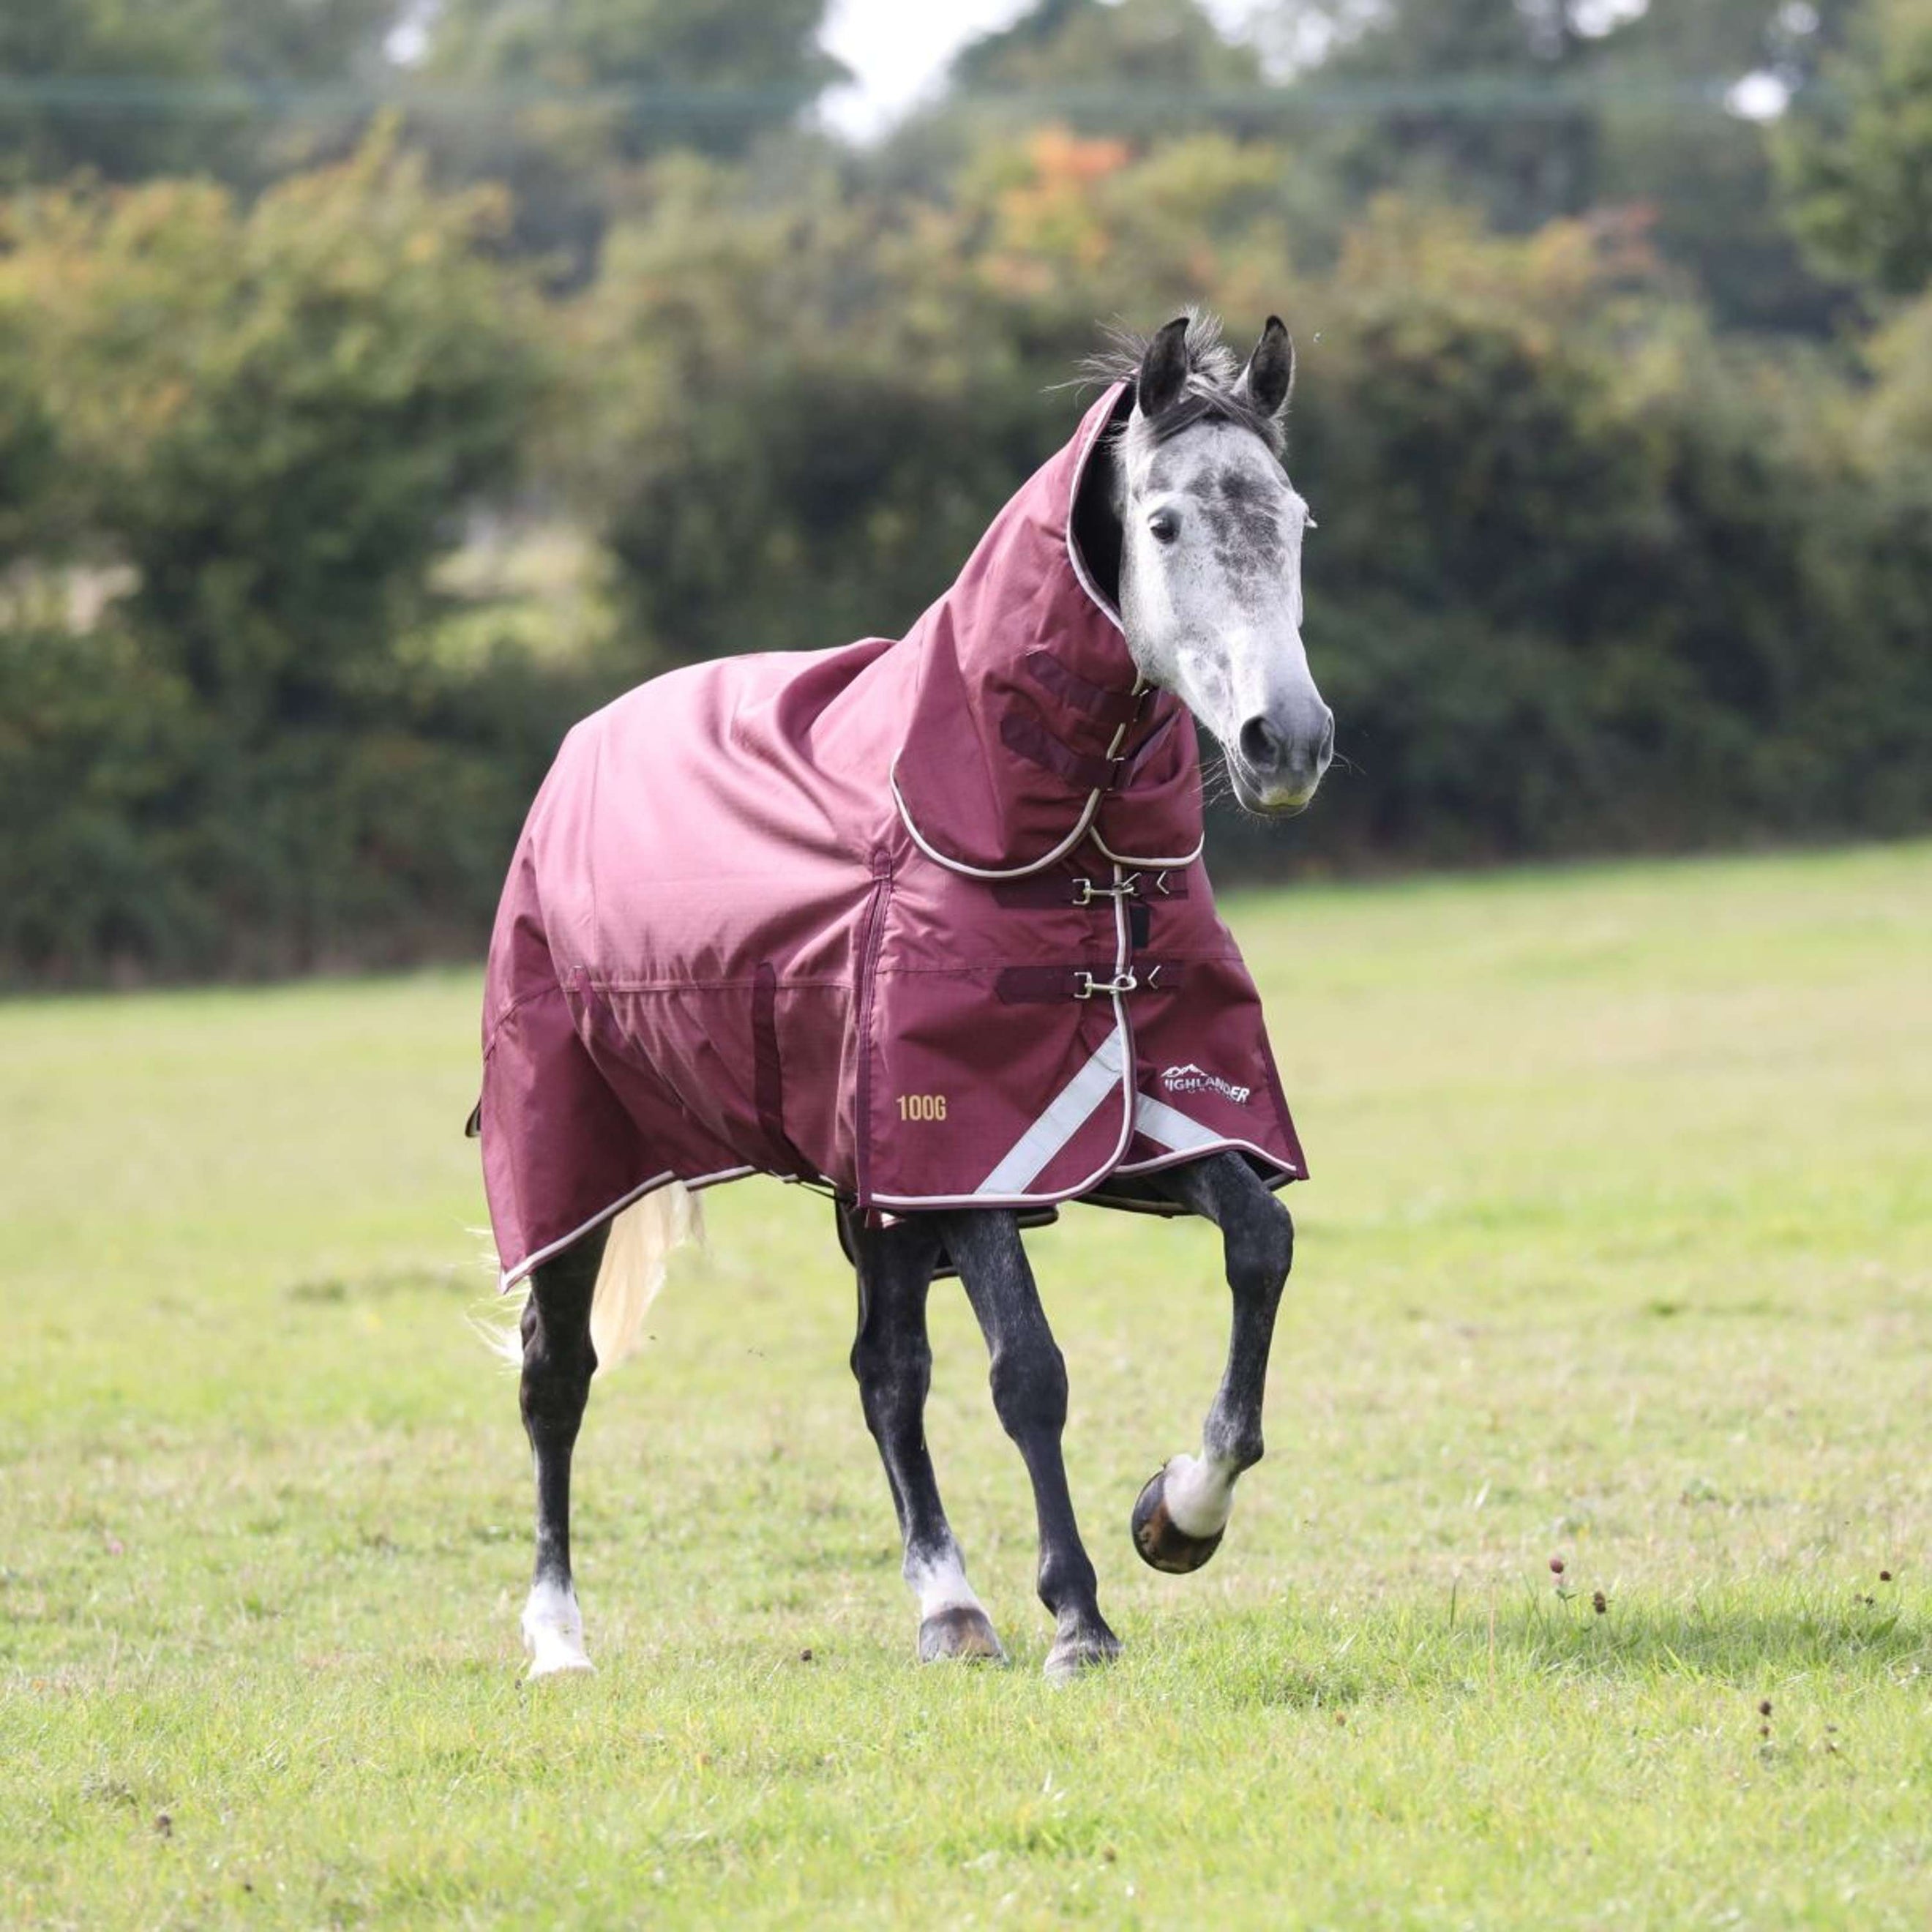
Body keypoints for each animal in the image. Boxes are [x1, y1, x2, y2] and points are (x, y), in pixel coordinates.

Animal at [475, 312, 1336, 1677]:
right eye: (1162, 524)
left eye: (1295, 521)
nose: (1285, 743)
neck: (1054, 853)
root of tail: (575, 755)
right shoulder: (971, 1142)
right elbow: (1029, 1370)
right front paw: (1080, 1615)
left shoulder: (1138, 1117)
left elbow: (1260, 1246)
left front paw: (1179, 1511)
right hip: (574, 1158)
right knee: (554, 1378)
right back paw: (558, 1637)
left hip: (871, 1191)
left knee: (886, 1371)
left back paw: (951, 1605)